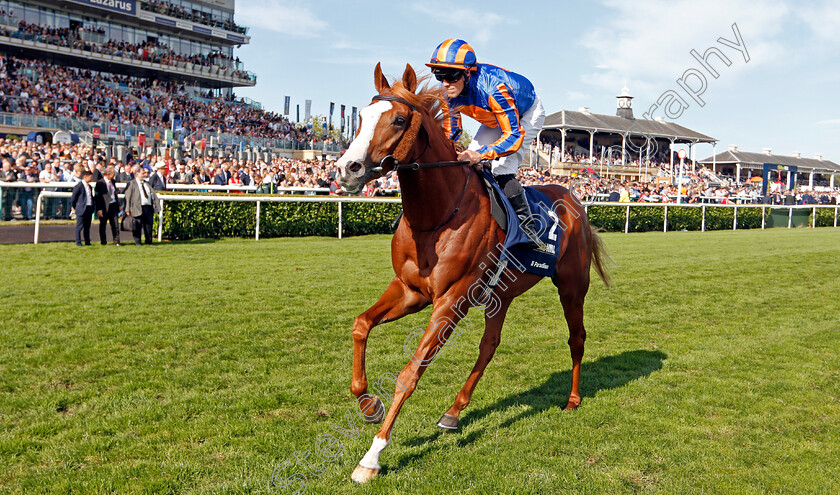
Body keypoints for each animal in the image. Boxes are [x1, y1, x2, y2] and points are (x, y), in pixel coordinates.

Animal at [336, 63, 612, 484]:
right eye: (362, 117)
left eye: (398, 119)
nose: (346, 169)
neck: (437, 214)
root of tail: (575, 199)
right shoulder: (410, 290)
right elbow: (361, 325)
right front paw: (369, 405)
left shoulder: (451, 300)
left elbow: (410, 373)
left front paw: (372, 457)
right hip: (501, 294)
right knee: (489, 345)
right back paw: (453, 412)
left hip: (571, 285)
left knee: (576, 338)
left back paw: (572, 399)